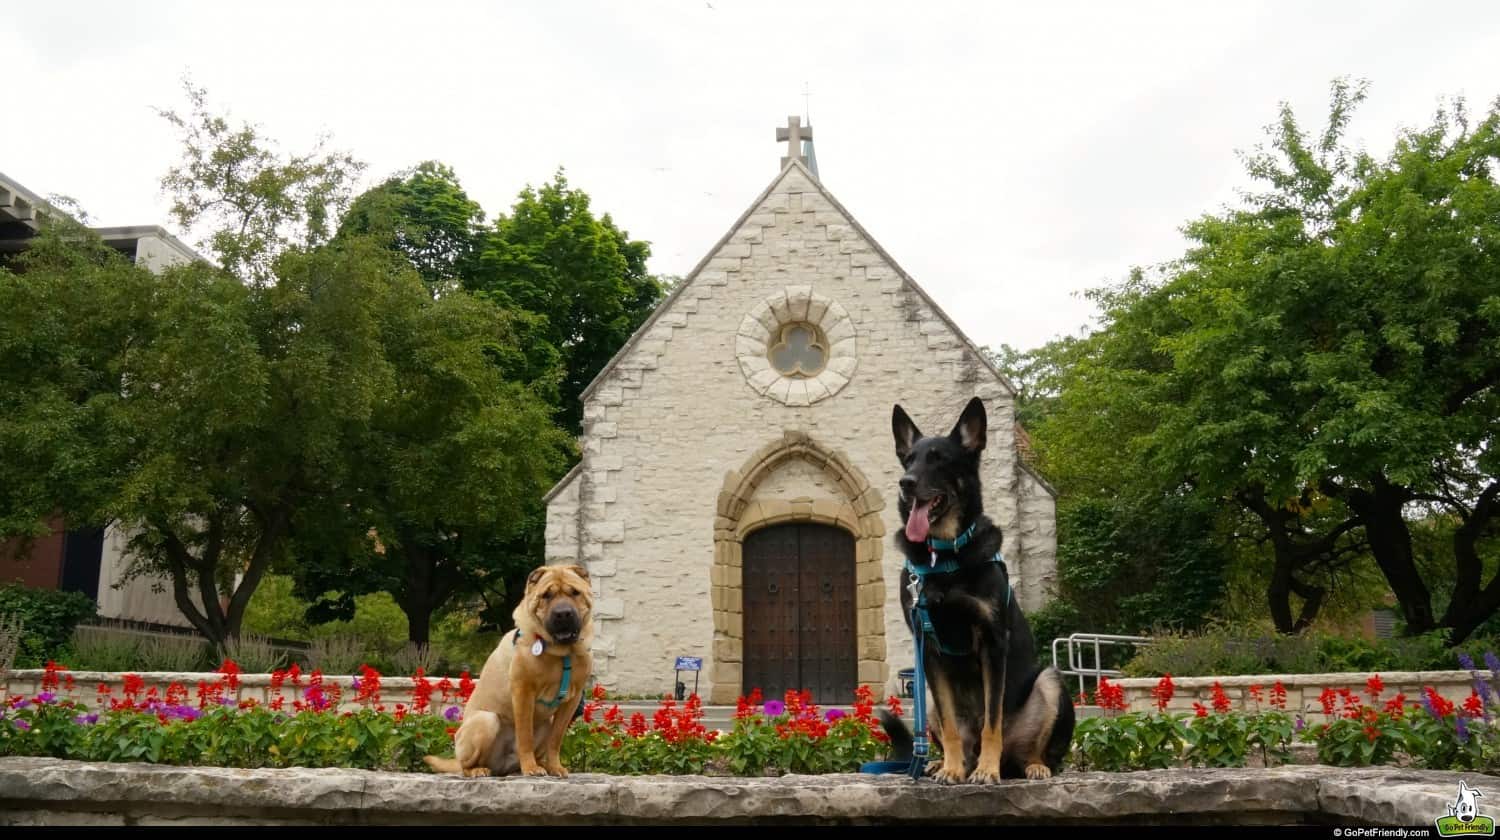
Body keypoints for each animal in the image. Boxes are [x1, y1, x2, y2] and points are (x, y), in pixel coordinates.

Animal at [426, 567, 594, 780]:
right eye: (546, 595)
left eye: (575, 592)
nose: (563, 613)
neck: (562, 654)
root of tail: (500, 765)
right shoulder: (523, 692)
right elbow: (524, 736)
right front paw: (530, 768)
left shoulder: (571, 701)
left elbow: (555, 740)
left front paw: (555, 767)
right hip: (485, 721)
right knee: (464, 765)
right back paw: (479, 770)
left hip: (545, 723)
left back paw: (537, 765)